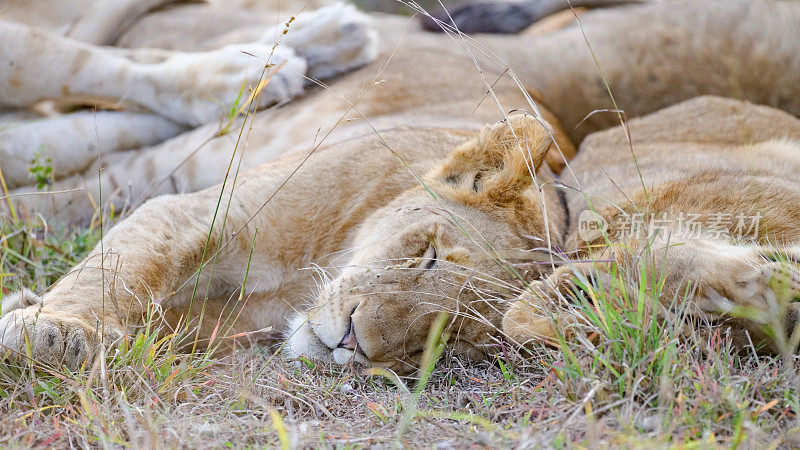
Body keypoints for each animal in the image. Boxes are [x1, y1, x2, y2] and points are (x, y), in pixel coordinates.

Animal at [1, 0, 800, 372]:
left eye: (451, 335)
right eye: (428, 255)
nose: (354, 340)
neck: (307, 278)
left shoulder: (206, 321)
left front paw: (36, 312)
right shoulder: (185, 212)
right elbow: (115, 269)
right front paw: (52, 328)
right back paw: (290, 54)